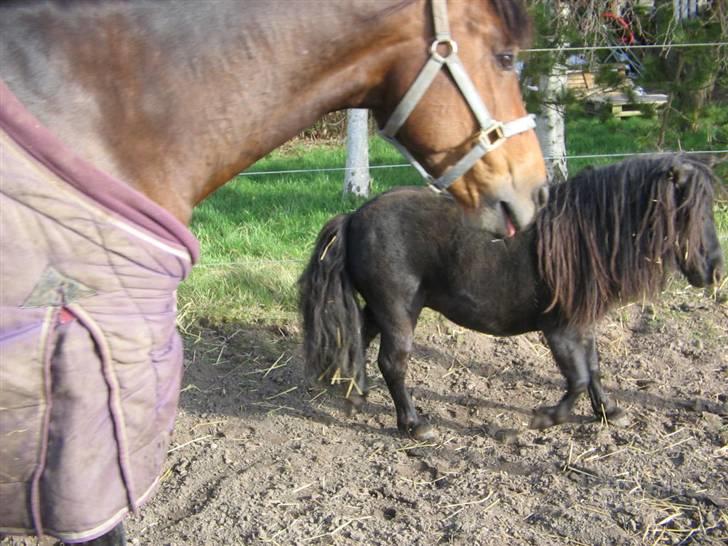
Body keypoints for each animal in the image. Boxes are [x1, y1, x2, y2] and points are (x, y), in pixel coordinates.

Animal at [300, 153, 724, 438]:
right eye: (687, 210)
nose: (716, 270)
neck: (582, 237)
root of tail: (354, 217)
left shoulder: (583, 325)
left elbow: (594, 369)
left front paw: (608, 410)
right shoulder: (560, 331)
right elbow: (578, 378)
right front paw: (546, 418)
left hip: (384, 309)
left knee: (360, 338)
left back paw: (356, 395)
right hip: (399, 311)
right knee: (393, 362)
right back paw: (414, 424)